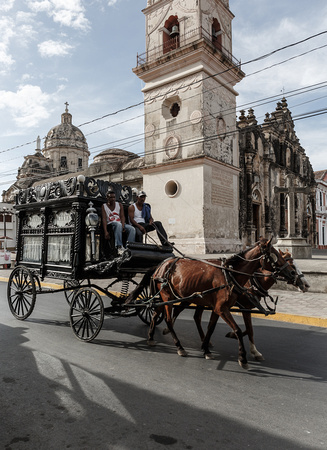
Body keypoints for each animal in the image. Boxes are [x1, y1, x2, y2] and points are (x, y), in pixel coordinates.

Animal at [129, 237, 298, 368]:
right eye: (275, 256)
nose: (293, 274)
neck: (230, 275)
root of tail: (161, 265)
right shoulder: (223, 308)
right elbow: (239, 330)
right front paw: (242, 357)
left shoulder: (218, 308)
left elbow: (212, 328)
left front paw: (206, 349)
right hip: (167, 297)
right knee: (169, 319)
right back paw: (179, 346)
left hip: (168, 298)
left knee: (156, 312)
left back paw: (151, 337)